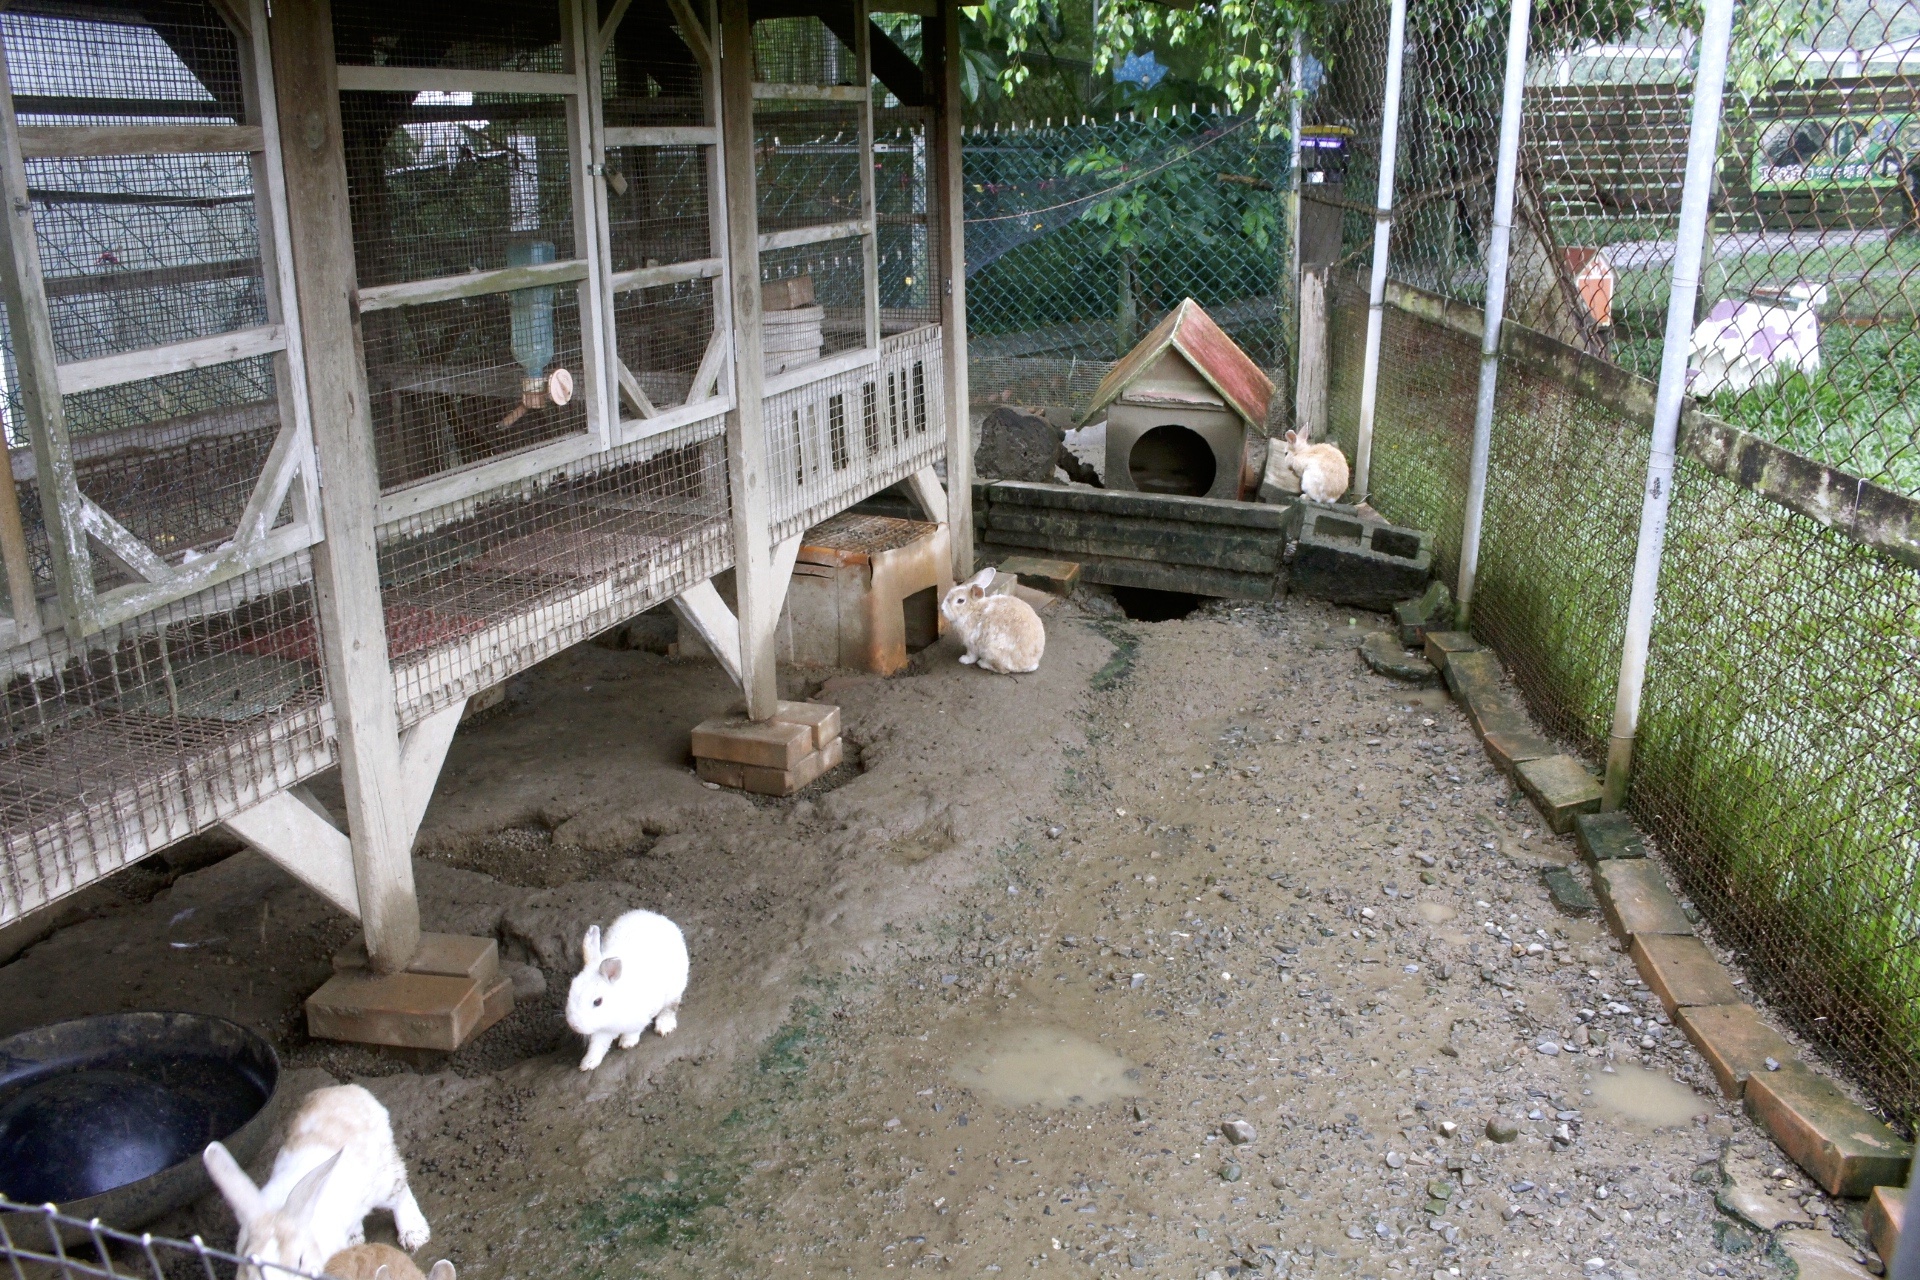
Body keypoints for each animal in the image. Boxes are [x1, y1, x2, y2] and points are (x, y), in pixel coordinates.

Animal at [202, 1082, 428, 1280]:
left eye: (300, 1261)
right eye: (250, 1265)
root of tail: (350, 1090)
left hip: (383, 1181)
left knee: (400, 1192)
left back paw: (414, 1233)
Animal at [568, 905, 691, 1074]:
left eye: (597, 1001)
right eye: (571, 988)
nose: (574, 1025)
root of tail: (654, 916)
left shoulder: (641, 1016)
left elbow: (634, 1030)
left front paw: (627, 1043)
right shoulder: (602, 1031)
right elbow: (598, 1046)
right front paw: (588, 1063)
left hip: (675, 988)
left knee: (670, 1007)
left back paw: (664, 1026)